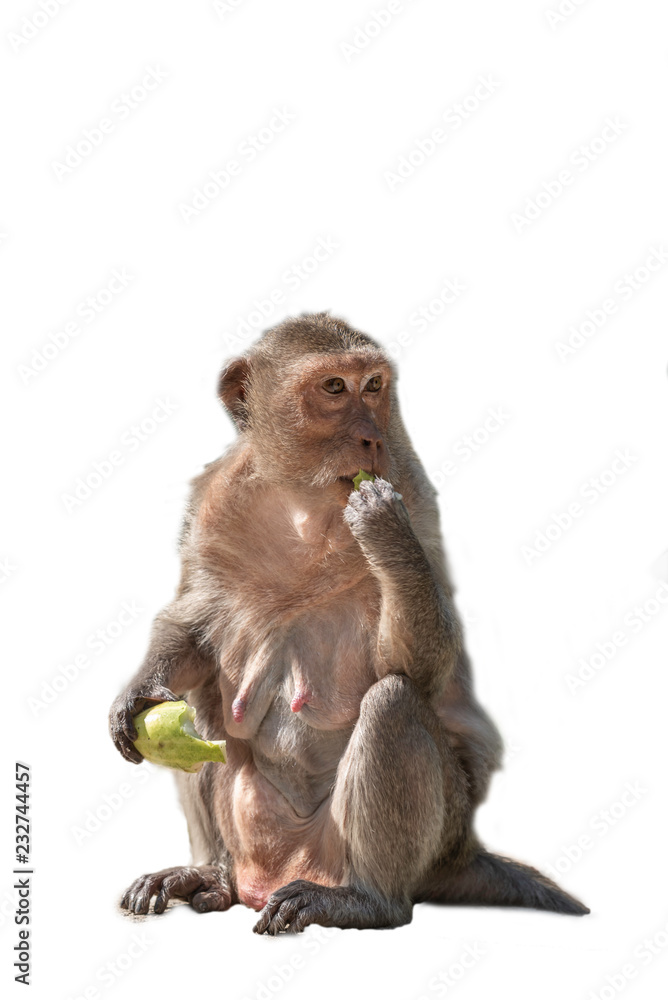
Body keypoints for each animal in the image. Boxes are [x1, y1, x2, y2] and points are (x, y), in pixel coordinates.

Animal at [108, 312, 589, 933]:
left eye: (374, 386)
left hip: (431, 835)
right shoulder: (212, 504)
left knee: (393, 703)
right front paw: (137, 691)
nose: (372, 439)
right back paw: (209, 874)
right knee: (200, 700)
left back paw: (366, 900)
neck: (306, 503)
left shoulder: (413, 490)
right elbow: (194, 618)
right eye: (334, 388)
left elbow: (417, 664)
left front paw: (385, 529)